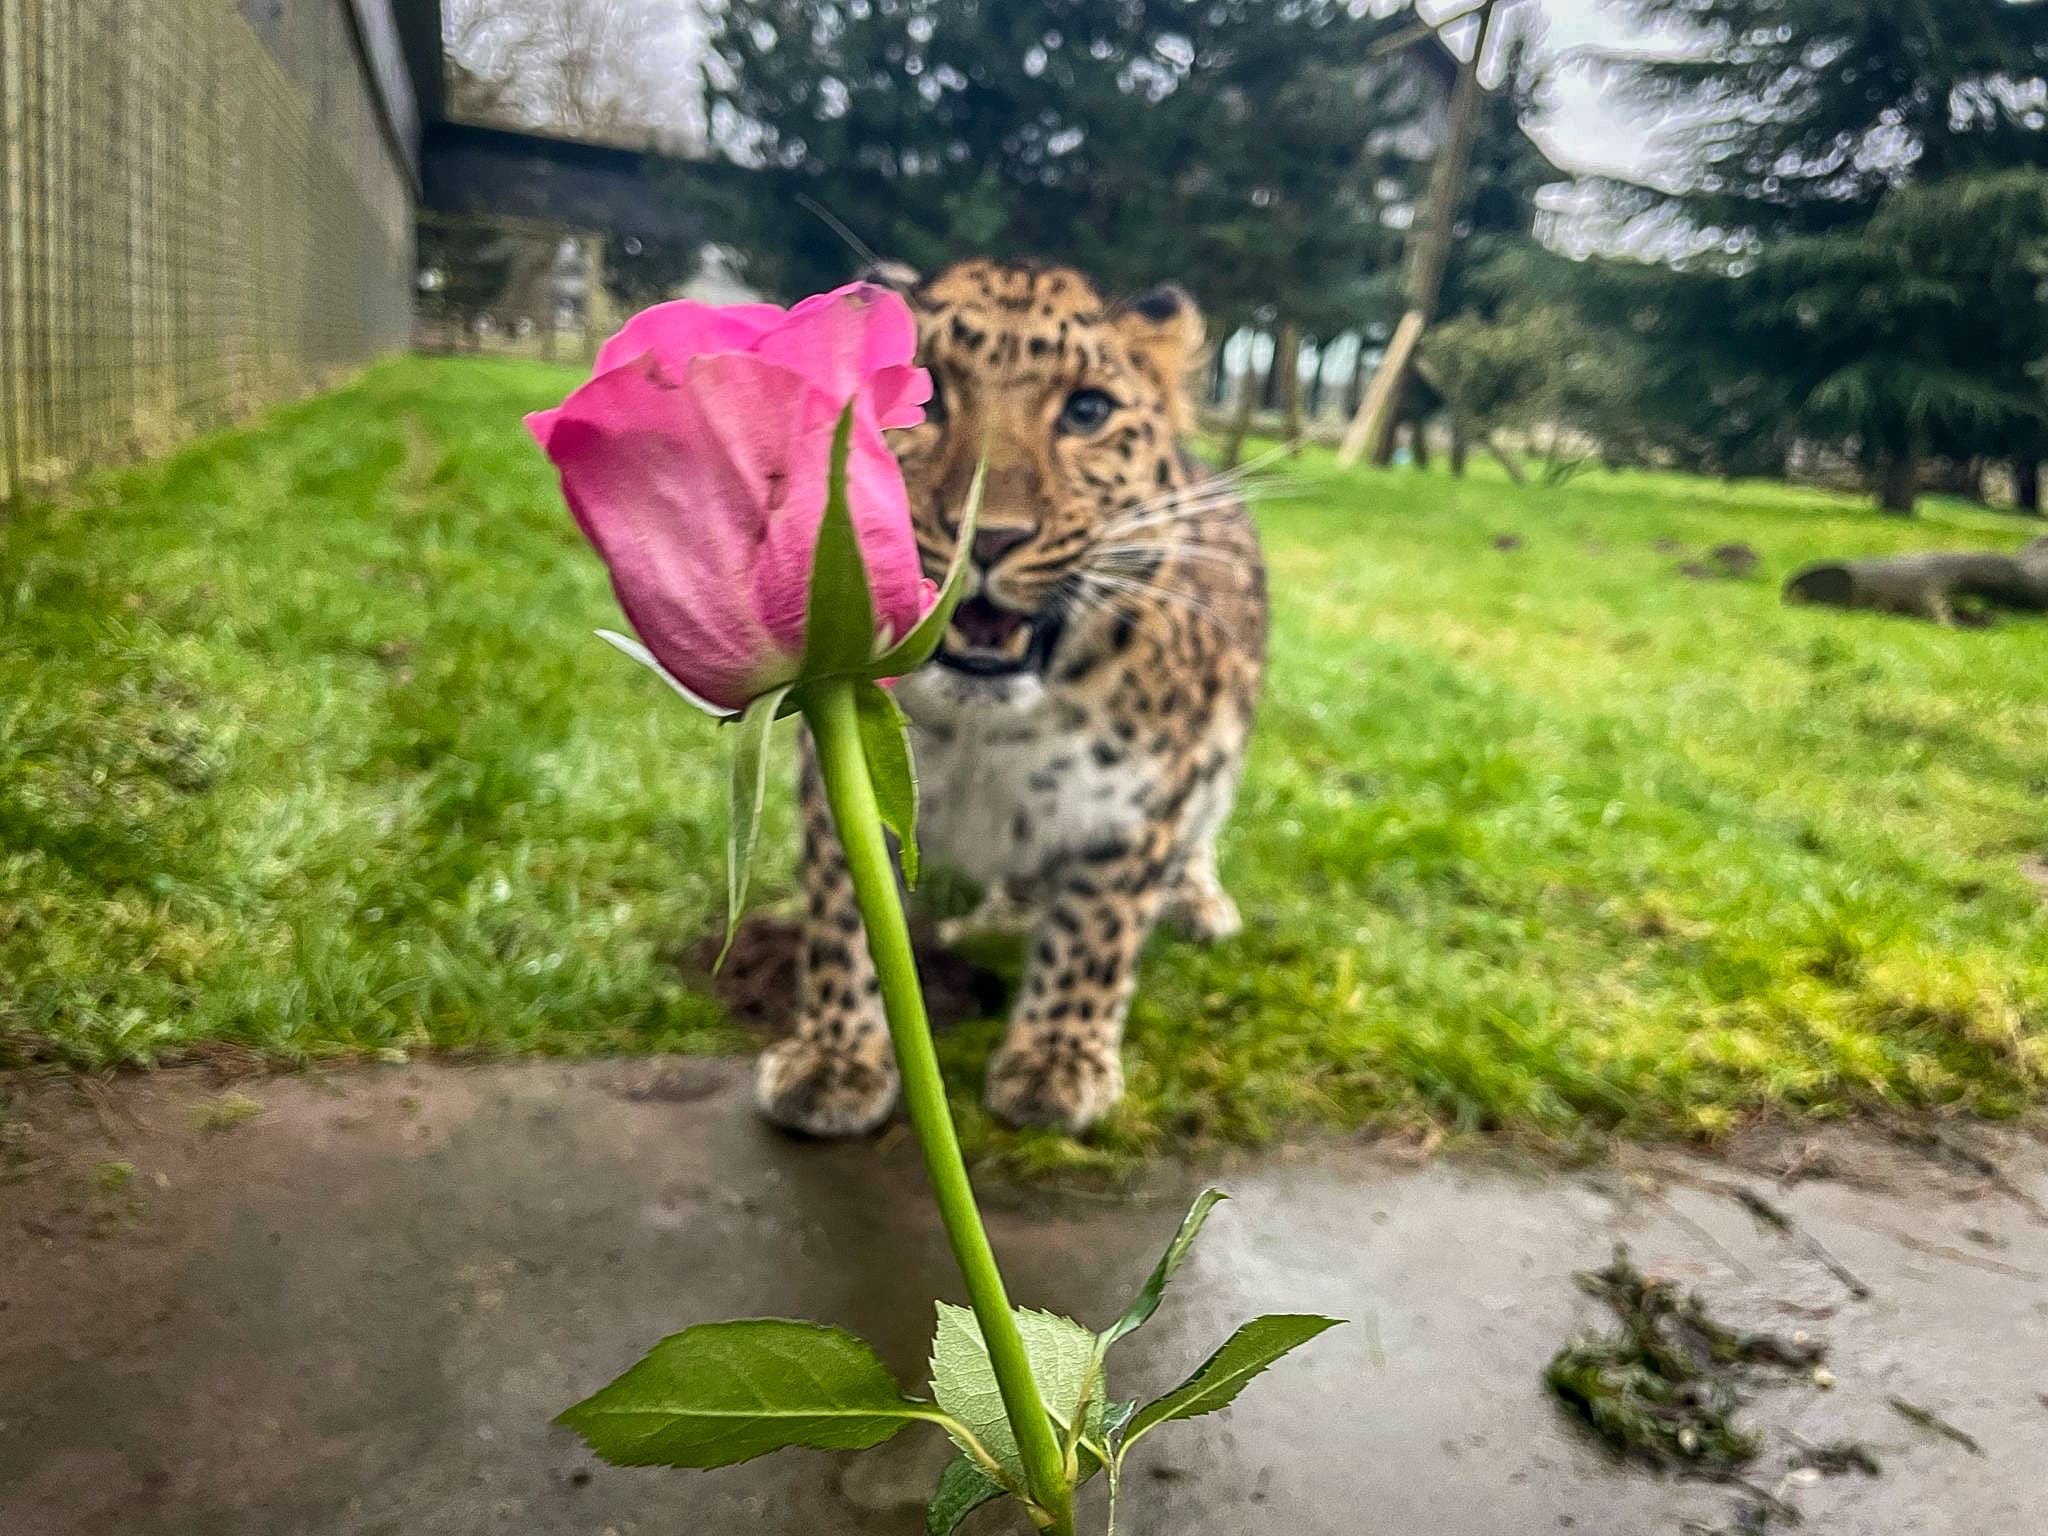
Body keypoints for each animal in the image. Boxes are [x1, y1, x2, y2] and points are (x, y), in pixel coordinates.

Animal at [755, 257, 1268, 1137]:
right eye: (926, 400)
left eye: (1087, 411)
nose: (990, 536)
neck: (985, 736)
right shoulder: (839, 778)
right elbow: (843, 920)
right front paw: (834, 1057)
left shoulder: (1140, 805)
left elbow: (1097, 928)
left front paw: (1056, 1063)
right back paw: (1006, 912)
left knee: (1202, 835)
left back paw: (1198, 903)